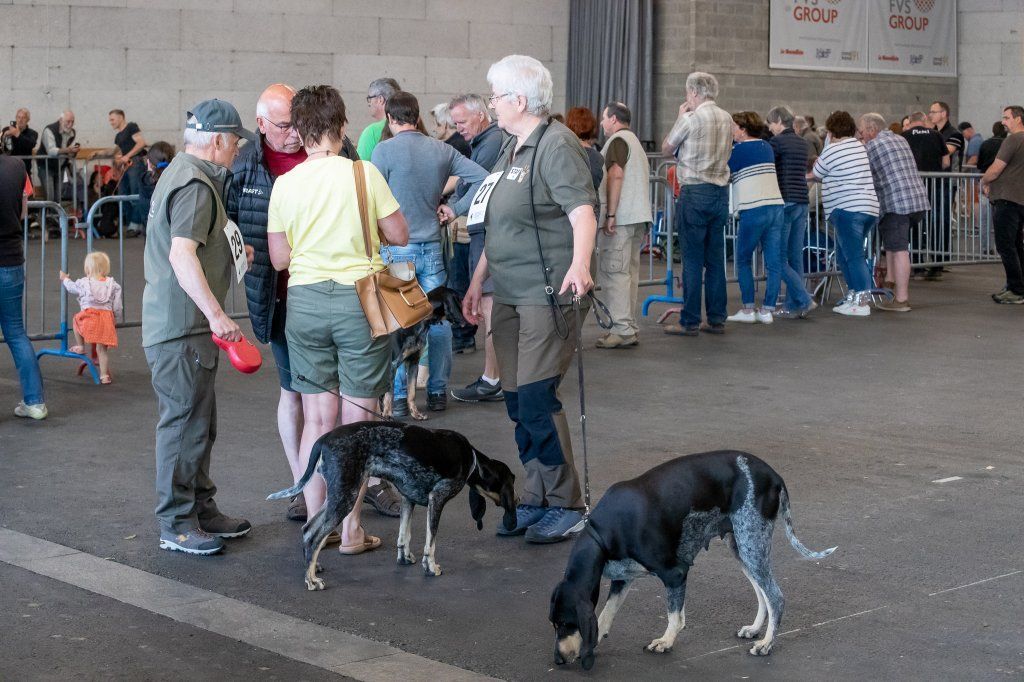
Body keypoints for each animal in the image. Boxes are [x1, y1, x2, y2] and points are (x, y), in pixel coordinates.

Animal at [268, 417, 516, 585]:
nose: (519, 499)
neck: (471, 459)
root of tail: (324, 439)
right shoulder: (437, 498)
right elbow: (431, 542)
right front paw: (431, 567)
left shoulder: (407, 499)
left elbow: (404, 536)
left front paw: (405, 558)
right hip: (345, 498)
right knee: (314, 535)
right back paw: (311, 580)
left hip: (337, 496)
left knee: (308, 530)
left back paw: (313, 566)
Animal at [548, 448, 835, 667]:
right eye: (553, 623)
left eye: (565, 623)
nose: (558, 660)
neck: (603, 533)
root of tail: (774, 475)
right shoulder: (623, 579)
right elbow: (606, 615)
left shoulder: (675, 573)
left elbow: (674, 616)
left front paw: (665, 641)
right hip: (744, 549)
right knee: (763, 593)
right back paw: (756, 630)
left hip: (752, 546)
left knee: (776, 596)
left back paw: (766, 644)